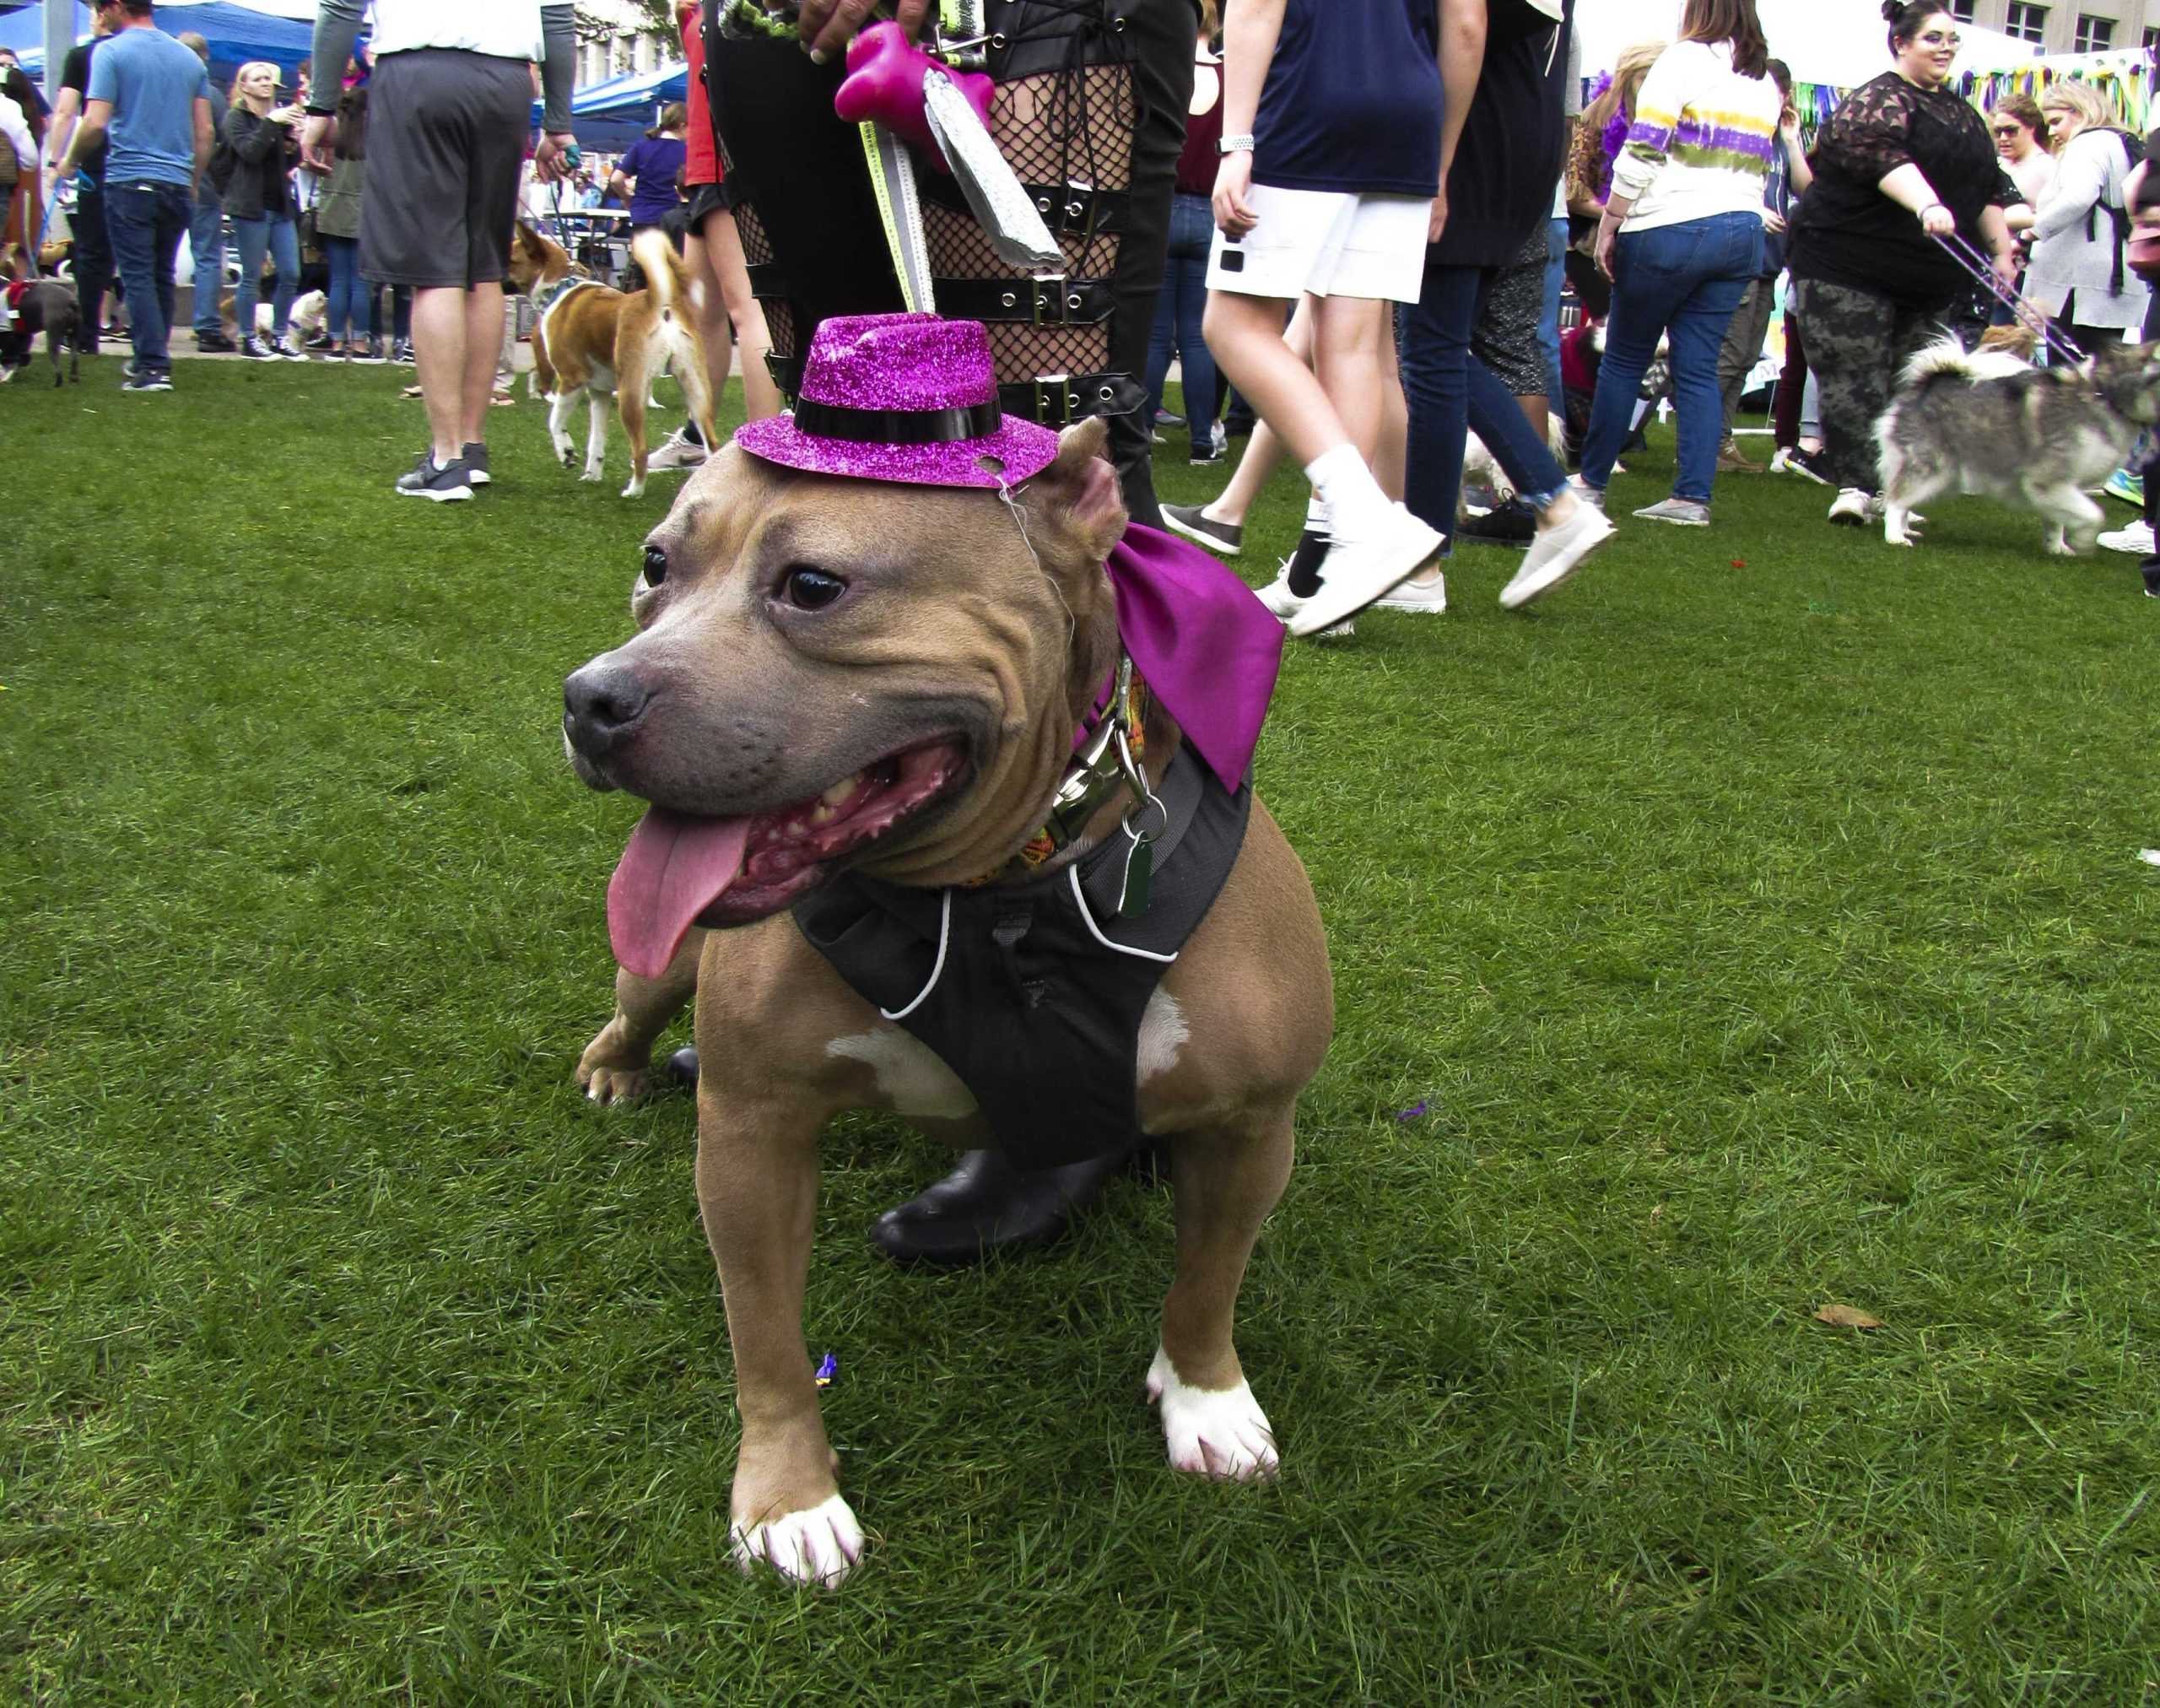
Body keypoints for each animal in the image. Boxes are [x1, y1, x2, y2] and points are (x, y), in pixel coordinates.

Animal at [505, 223, 716, 496]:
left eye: (510, 259)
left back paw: (634, 491)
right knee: (713, 444)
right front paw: (591, 476)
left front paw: (566, 452)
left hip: (630, 393)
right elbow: (596, 442)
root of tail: (660, 303)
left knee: (640, 450)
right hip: (695, 390)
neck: (561, 286)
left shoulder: (571, 380)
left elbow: (554, 422)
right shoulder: (599, 393)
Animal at [561, 416, 1330, 1589]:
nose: (589, 700)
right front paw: (788, 1495)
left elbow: (1208, 1279)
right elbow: (764, 1333)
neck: (996, 893)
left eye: (814, 585)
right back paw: (618, 1066)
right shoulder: (750, 1133)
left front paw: (1206, 1397)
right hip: (666, 963)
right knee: (635, 1006)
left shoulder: (1252, 1126)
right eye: (657, 564)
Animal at [1875, 343, 2160, 557]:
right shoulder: (2047, 479)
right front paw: (2084, 539)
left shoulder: (2059, 486)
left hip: (1941, 476)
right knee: (1896, 501)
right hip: (1931, 468)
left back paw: (1906, 529)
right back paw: (1895, 537)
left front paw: (2057, 547)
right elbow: (2094, 514)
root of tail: (1925, 385)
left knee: (1902, 498)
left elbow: (2056, 521)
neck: (2105, 396)